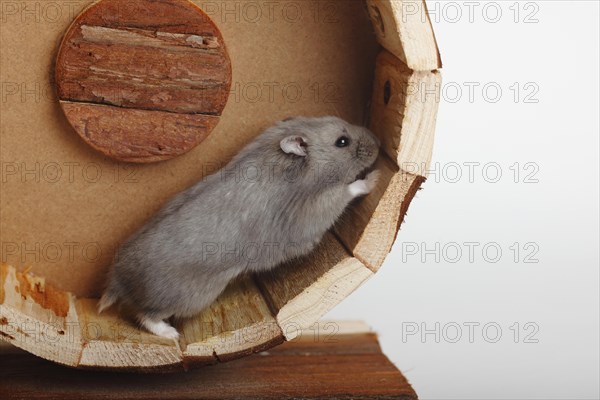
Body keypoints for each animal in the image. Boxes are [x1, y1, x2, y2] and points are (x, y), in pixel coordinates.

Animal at [98, 115, 380, 338]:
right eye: (342, 141)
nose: (379, 143)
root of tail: (118, 281)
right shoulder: (313, 210)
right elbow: (347, 191)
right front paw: (374, 179)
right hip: (189, 297)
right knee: (145, 316)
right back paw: (171, 334)